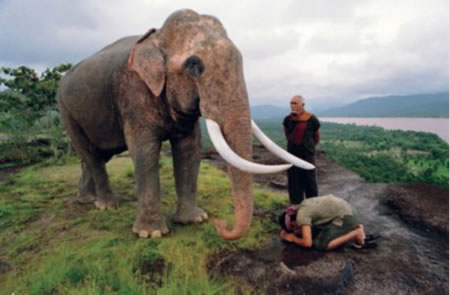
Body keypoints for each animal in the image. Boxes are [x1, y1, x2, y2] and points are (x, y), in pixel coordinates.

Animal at [57, 8, 312, 240]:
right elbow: (145, 151)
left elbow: (190, 148)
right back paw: (106, 205)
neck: (157, 36)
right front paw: (151, 234)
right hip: (66, 110)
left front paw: (195, 220)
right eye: (194, 64)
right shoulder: (133, 92)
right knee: (91, 154)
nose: (220, 224)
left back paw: (87, 200)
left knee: (95, 156)